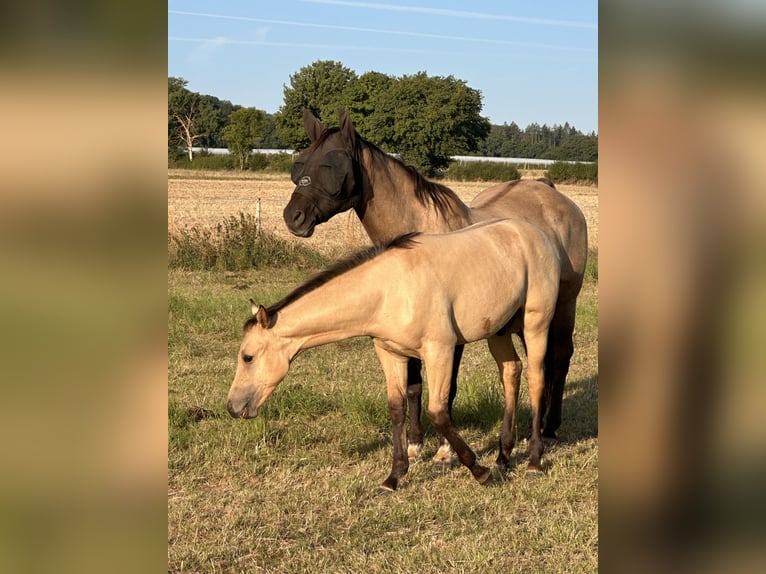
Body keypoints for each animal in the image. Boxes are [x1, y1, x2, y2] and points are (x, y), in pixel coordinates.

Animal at [227, 218, 561, 492]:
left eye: (247, 357)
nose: (232, 407)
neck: (388, 290)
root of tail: (537, 234)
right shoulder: (390, 353)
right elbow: (397, 408)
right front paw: (394, 477)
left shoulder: (439, 351)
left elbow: (438, 413)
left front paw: (480, 471)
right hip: (499, 330)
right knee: (511, 371)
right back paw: (504, 456)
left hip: (535, 324)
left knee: (535, 378)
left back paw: (533, 461)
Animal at [282, 110, 588, 460]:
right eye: (300, 163)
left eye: (330, 166)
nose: (294, 217)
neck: (421, 231)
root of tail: (553, 195)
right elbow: (414, 385)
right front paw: (415, 444)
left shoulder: (451, 336)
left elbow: (448, 388)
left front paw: (445, 451)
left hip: (563, 304)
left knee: (559, 357)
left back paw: (549, 429)